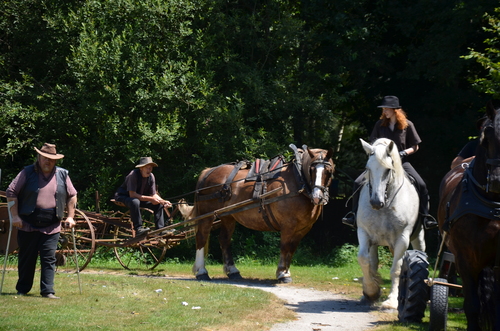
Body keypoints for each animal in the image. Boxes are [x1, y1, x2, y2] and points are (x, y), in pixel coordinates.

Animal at [178, 147, 334, 284]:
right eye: (311, 170)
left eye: (329, 171)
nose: (318, 197)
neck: (298, 181)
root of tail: (208, 171)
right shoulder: (288, 225)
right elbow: (285, 247)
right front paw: (282, 274)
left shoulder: (303, 228)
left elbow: (292, 249)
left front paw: (286, 271)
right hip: (207, 214)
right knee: (202, 237)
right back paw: (201, 272)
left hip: (228, 216)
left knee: (224, 240)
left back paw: (233, 271)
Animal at [356, 137, 426, 308]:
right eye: (367, 168)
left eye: (388, 170)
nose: (375, 202)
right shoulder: (364, 233)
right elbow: (364, 259)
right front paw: (371, 291)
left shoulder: (402, 238)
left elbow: (396, 269)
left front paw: (392, 301)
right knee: (373, 261)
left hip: (418, 238)